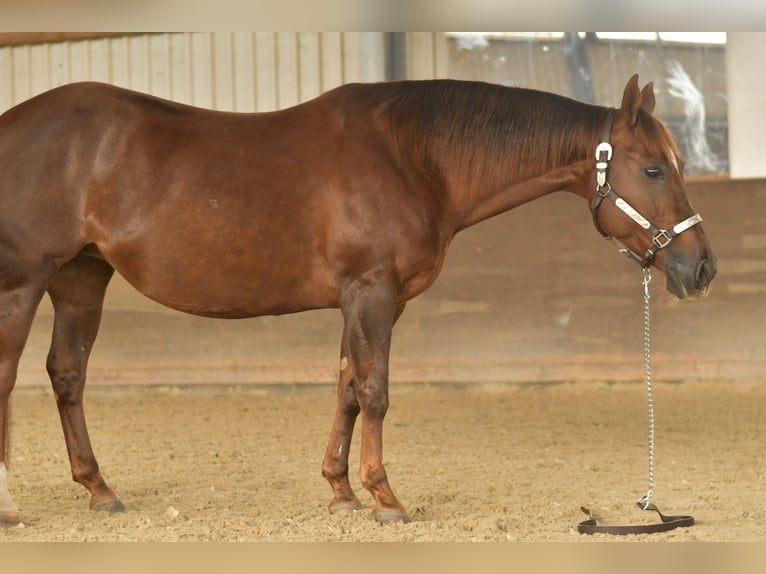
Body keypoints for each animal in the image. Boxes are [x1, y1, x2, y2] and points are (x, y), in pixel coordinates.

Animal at [0, 74, 716, 527]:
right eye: (654, 168)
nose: (701, 267)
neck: (412, 157)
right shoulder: (371, 292)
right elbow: (375, 390)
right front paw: (386, 498)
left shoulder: (365, 299)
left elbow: (346, 386)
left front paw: (341, 491)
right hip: (23, 282)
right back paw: (11, 507)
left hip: (81, 278)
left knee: (66, 374)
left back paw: (100, 489)